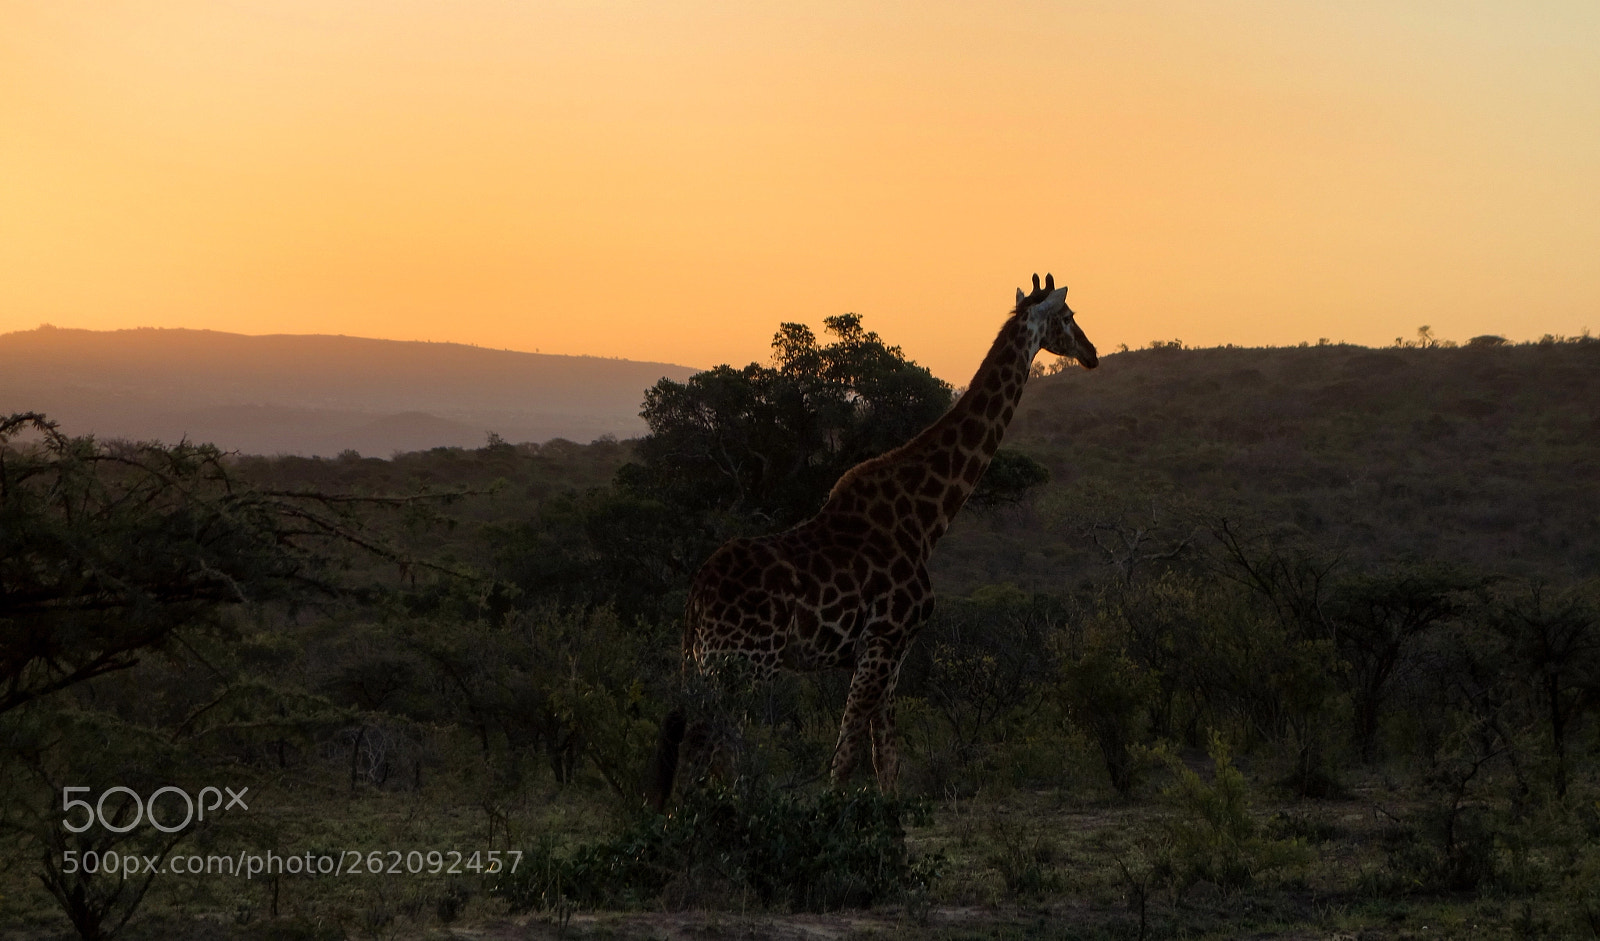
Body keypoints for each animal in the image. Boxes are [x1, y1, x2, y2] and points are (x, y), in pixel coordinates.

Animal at [645, 274, 1097, 809]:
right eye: (1068, 317)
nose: (1092, 353)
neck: (924, 520)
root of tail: (697, 595)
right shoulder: (885, 639)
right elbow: (846, 754)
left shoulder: (891, 651)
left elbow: (887, 759)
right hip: (746, 662)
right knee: (713, 748)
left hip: (707, 663)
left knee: (703, 746)